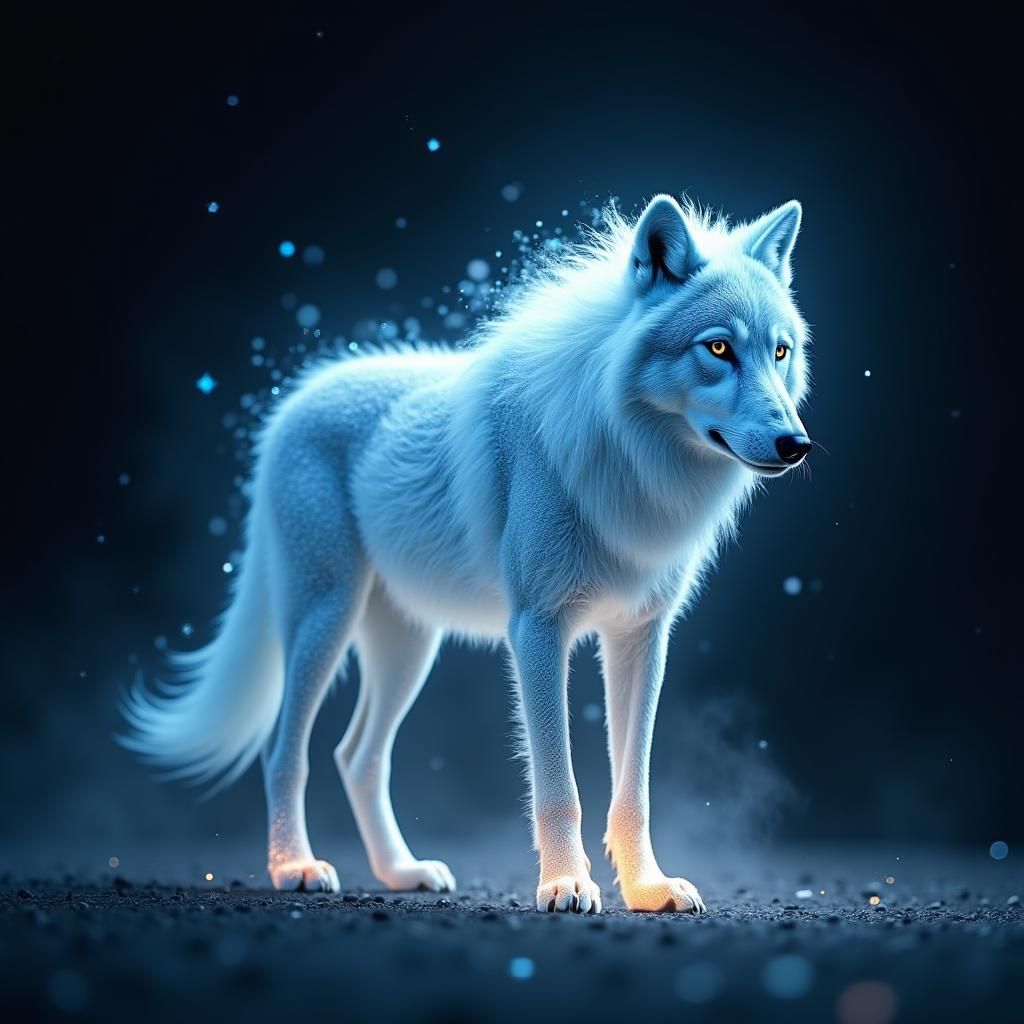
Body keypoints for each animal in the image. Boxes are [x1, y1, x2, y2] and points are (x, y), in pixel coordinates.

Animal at [120, 194, 812, 914]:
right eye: (719, 348)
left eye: (780, 351)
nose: (797, 444)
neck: (630, 462)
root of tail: (298, 399)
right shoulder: (538, 629)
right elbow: (560, 786)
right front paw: (566, 885)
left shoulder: (642, 636)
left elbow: (634, 790)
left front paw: (647, 888)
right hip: (324, 619)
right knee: (287, 751)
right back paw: (296, 867)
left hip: (409, 648)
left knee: (356, 756)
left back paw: (401, 872)